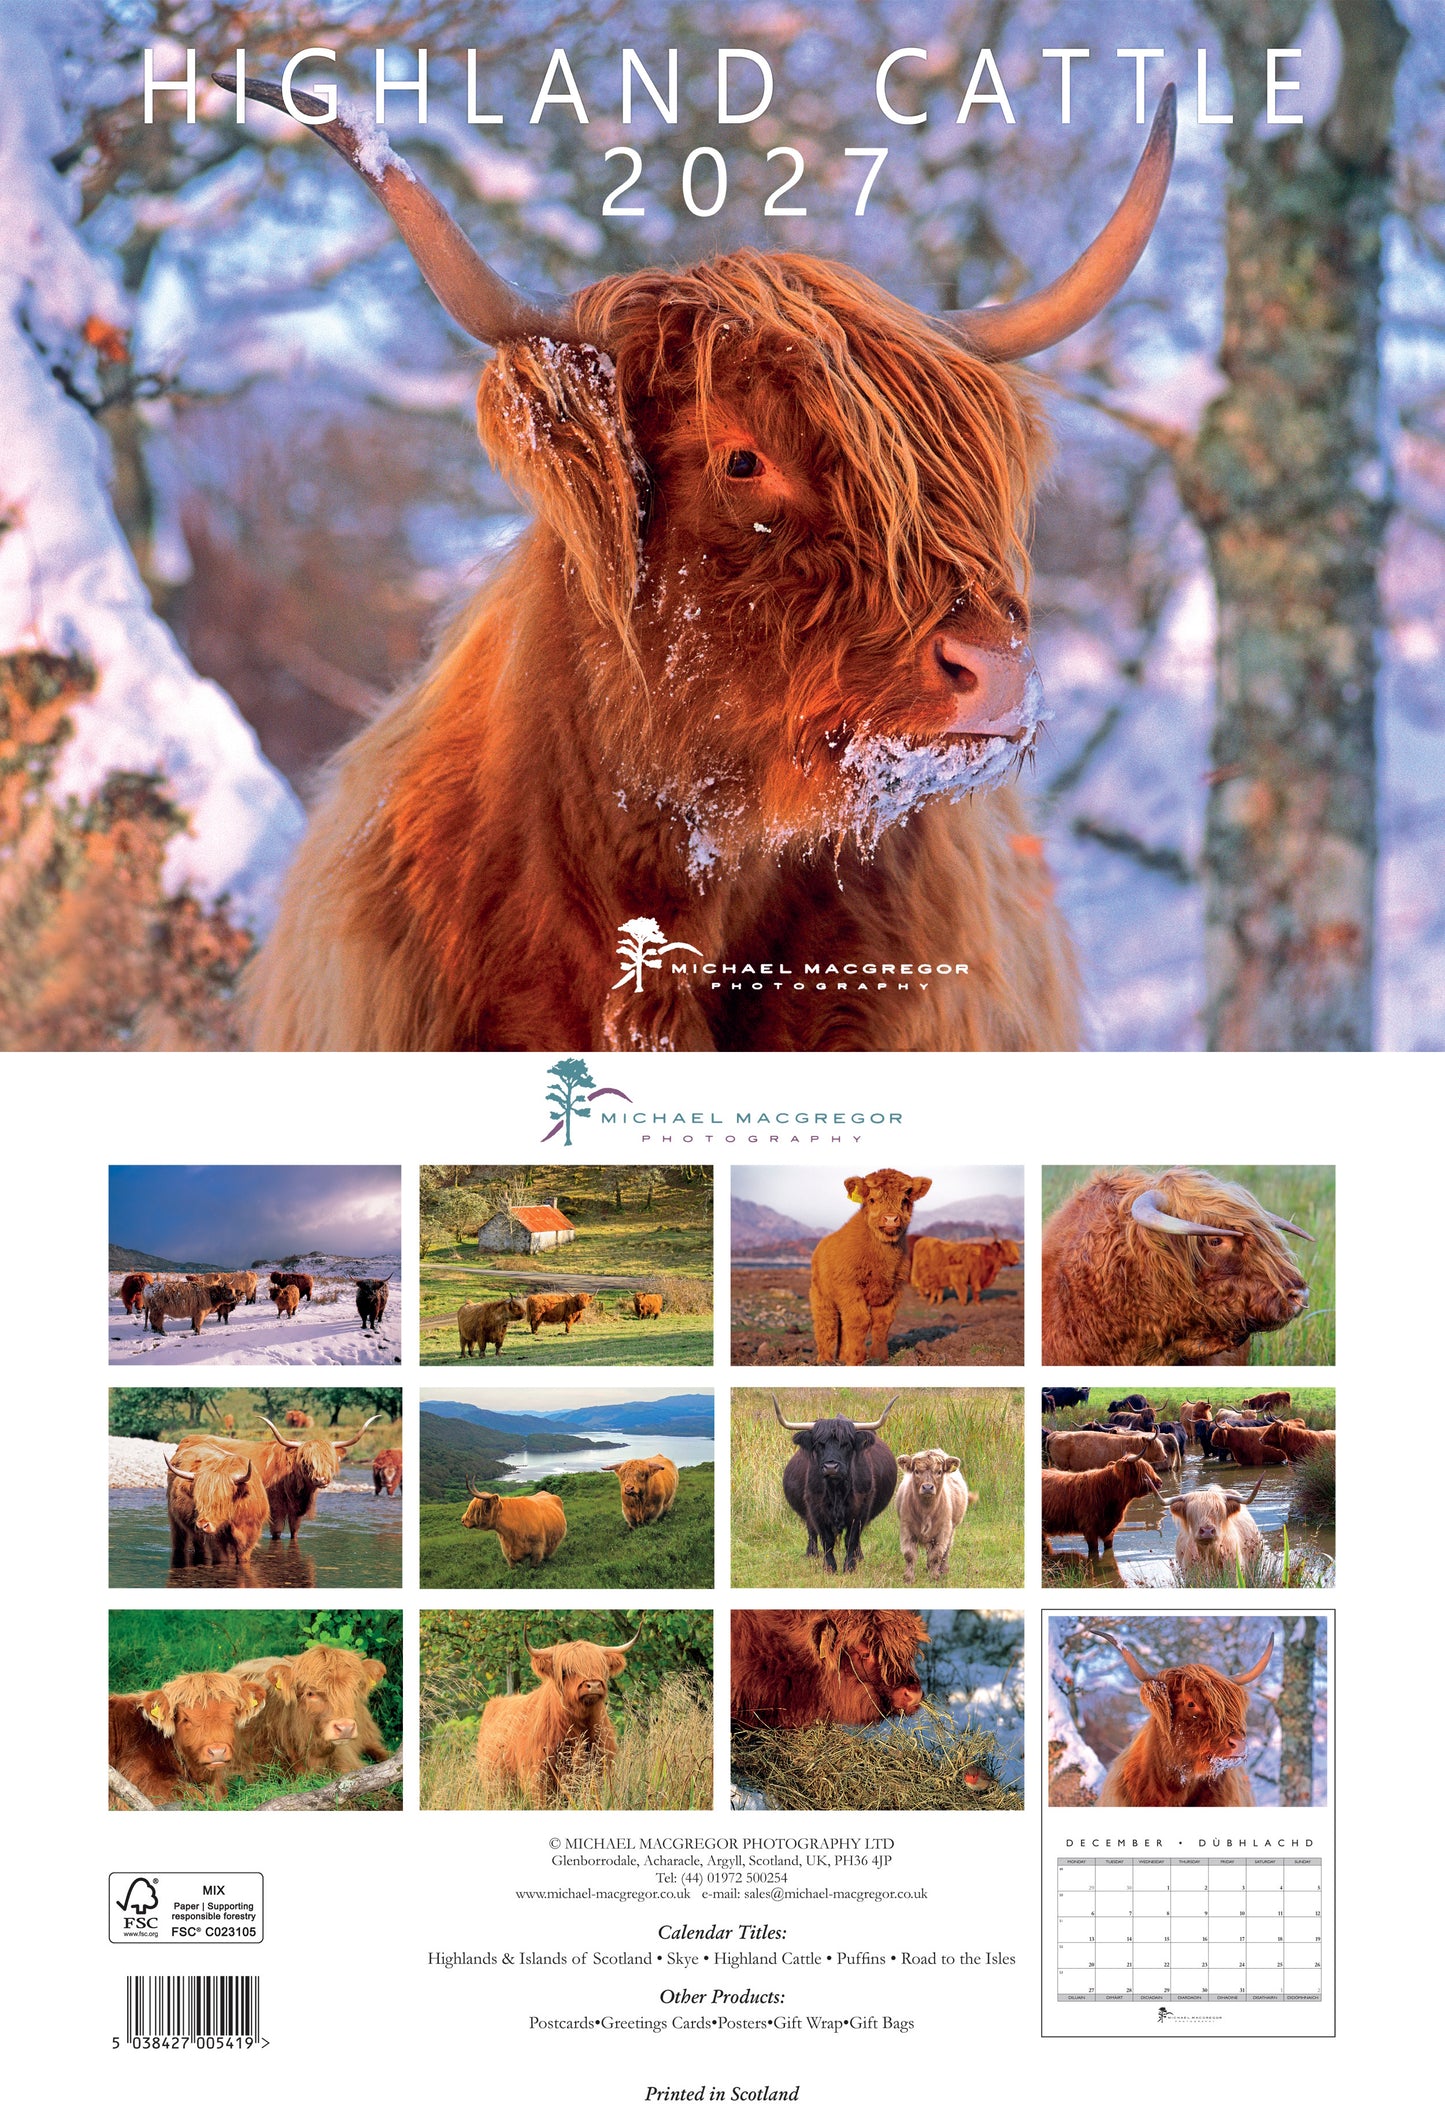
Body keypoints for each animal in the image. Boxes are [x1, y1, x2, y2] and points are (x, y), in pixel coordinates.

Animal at [475, 1628, 641, 1806]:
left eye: (601, 1668)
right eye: (565, 1671)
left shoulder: (600, 1770)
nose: (594, 1685)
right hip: (496, 1790)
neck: (579, 1727)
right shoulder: (539, 1779)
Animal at [772, 1394, 899, 1573]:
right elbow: (827, 1539)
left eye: (846, 1444)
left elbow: (851, 1539)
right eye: (819, 1444)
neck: (837, 1489)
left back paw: (859, 1556)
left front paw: (850, 1567)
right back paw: (811, 1554)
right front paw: (830, 1567)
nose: (831, 1467)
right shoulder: (816, 1508)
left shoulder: (861, 1509)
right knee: (811, 1532)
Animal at [810, 1169, 931, 1365]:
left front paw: (879, 1357)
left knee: (842, 1325)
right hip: (821, 1295)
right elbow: (859, 1321)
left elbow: (882, 1322)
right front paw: (856, 1359)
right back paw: (825, 1360)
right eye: (872, 1199)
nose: (890, 1219)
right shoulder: (849, 1287)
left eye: (904, 1200)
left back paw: (842, 1356)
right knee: (826, 1324)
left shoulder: (894, 1290)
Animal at [895, 1449, 977, 1584]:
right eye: (916, 1471)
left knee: (946, 1551)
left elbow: (936, 1556)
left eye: (939, 1471)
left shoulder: (943, 1530)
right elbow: (909, 1555)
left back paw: (943, 1570)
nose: (927, 1487)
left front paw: (934, 1577)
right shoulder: (906, 1528)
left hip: (951, 1529)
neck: (926, 1511)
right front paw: (908, 1578)